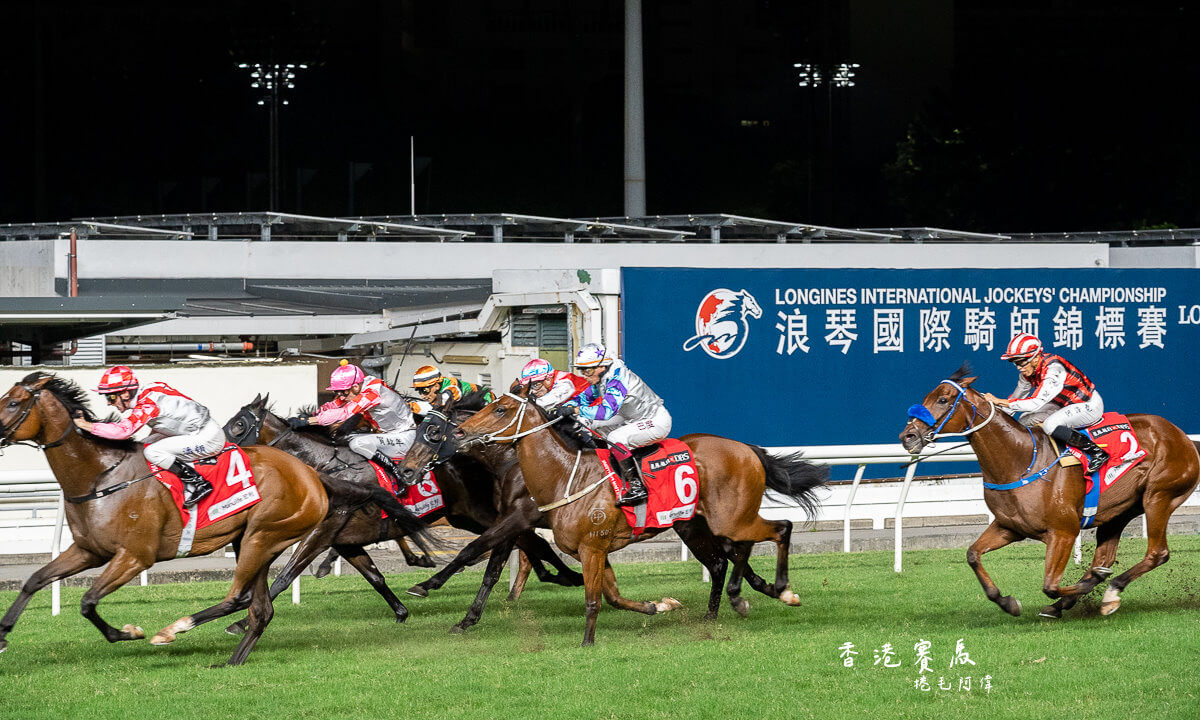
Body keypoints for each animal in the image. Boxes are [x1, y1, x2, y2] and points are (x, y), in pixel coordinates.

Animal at [0, 374, 331, 667]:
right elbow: (34, 580)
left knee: (238, 596)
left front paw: (128, 632)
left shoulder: (135, 556)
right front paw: (3, 634)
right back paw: (231, 661)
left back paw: (172, 630)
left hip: (262, 535)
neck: (100, 477)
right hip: (252, 540)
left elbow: (88, 601)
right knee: (259, 608)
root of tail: (310, 475)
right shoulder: (88, 551)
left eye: (14, 403)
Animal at [408, 388, 830, 648]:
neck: (565, 474)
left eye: (500, 409)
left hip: (729, 518)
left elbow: (587, 596)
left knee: (777, 530)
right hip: (693, 523)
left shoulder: (566, 537)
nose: (408, 470)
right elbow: (608, 595)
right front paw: (658, 606)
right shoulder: (576, 544)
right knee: (725, 558)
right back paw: (726, 606)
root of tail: (748, 448)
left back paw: (775, 589)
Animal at [902, 364, 1200, 619]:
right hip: (1120, 511)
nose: (907, 436)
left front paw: (1088, 584)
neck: (1020, 459)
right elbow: (973, 555)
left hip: (1158, 496)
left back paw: (1110, 590)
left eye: (943, 400)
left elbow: (1050, 585)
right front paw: (1008, 602)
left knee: (1157, 553)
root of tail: (1182, 436)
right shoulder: (1009, 527)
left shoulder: (1064, 531)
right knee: (1106, 556)